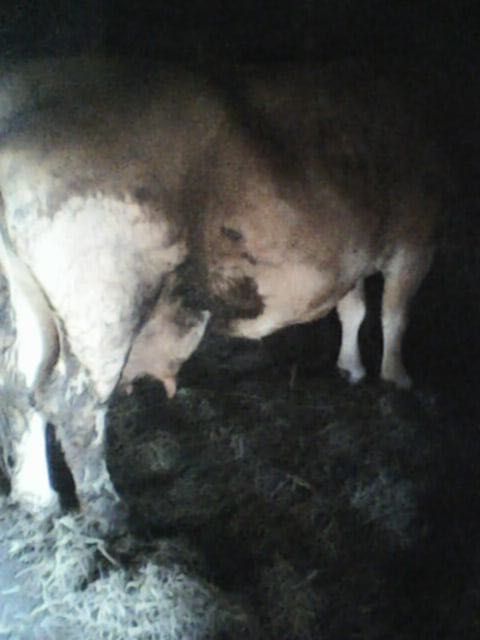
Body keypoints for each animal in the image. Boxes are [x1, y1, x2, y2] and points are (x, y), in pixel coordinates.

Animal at [0, 57, 443, 532]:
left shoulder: (357, 258)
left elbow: (354, 309)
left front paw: (352, 368)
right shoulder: (416, 238)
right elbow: (396, 314)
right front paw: (397, 378)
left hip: (31, 305)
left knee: (21, 388)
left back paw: (37, 498)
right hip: (103, 301)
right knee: (74, 404)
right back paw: (111, 514)